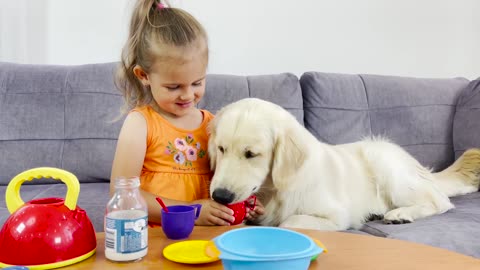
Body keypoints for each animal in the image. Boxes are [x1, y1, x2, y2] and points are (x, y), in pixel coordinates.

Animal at [208, 98, 480, 229]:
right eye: (221, 149)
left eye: (251, 154)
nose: (220, 196)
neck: (275, 190)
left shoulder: (336, 215)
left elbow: (289, 222)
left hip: (386, 164)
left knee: (439, 202)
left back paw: (400, 214)